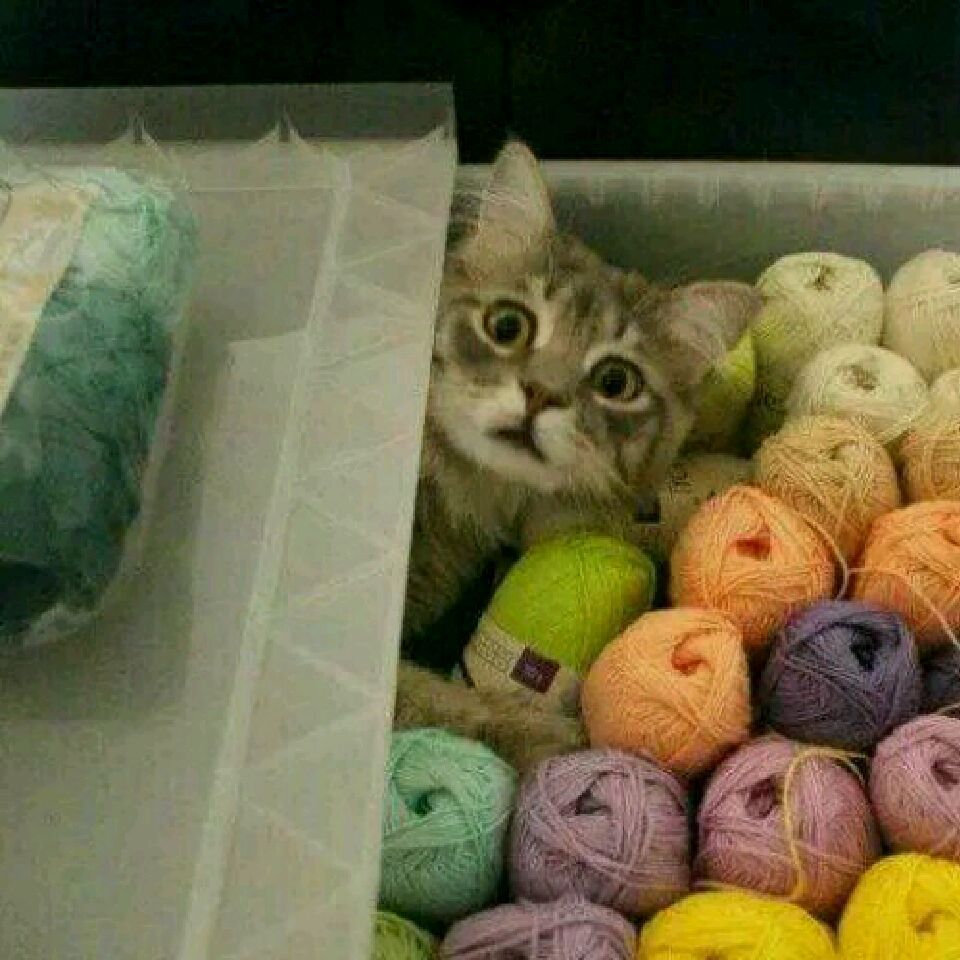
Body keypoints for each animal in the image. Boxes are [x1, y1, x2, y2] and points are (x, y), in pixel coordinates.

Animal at [394, 141, 760, 772]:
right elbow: (437, 703)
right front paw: (543, 737)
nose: (540, 393)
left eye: (615, 381)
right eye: (507, 325)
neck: (466, 495)